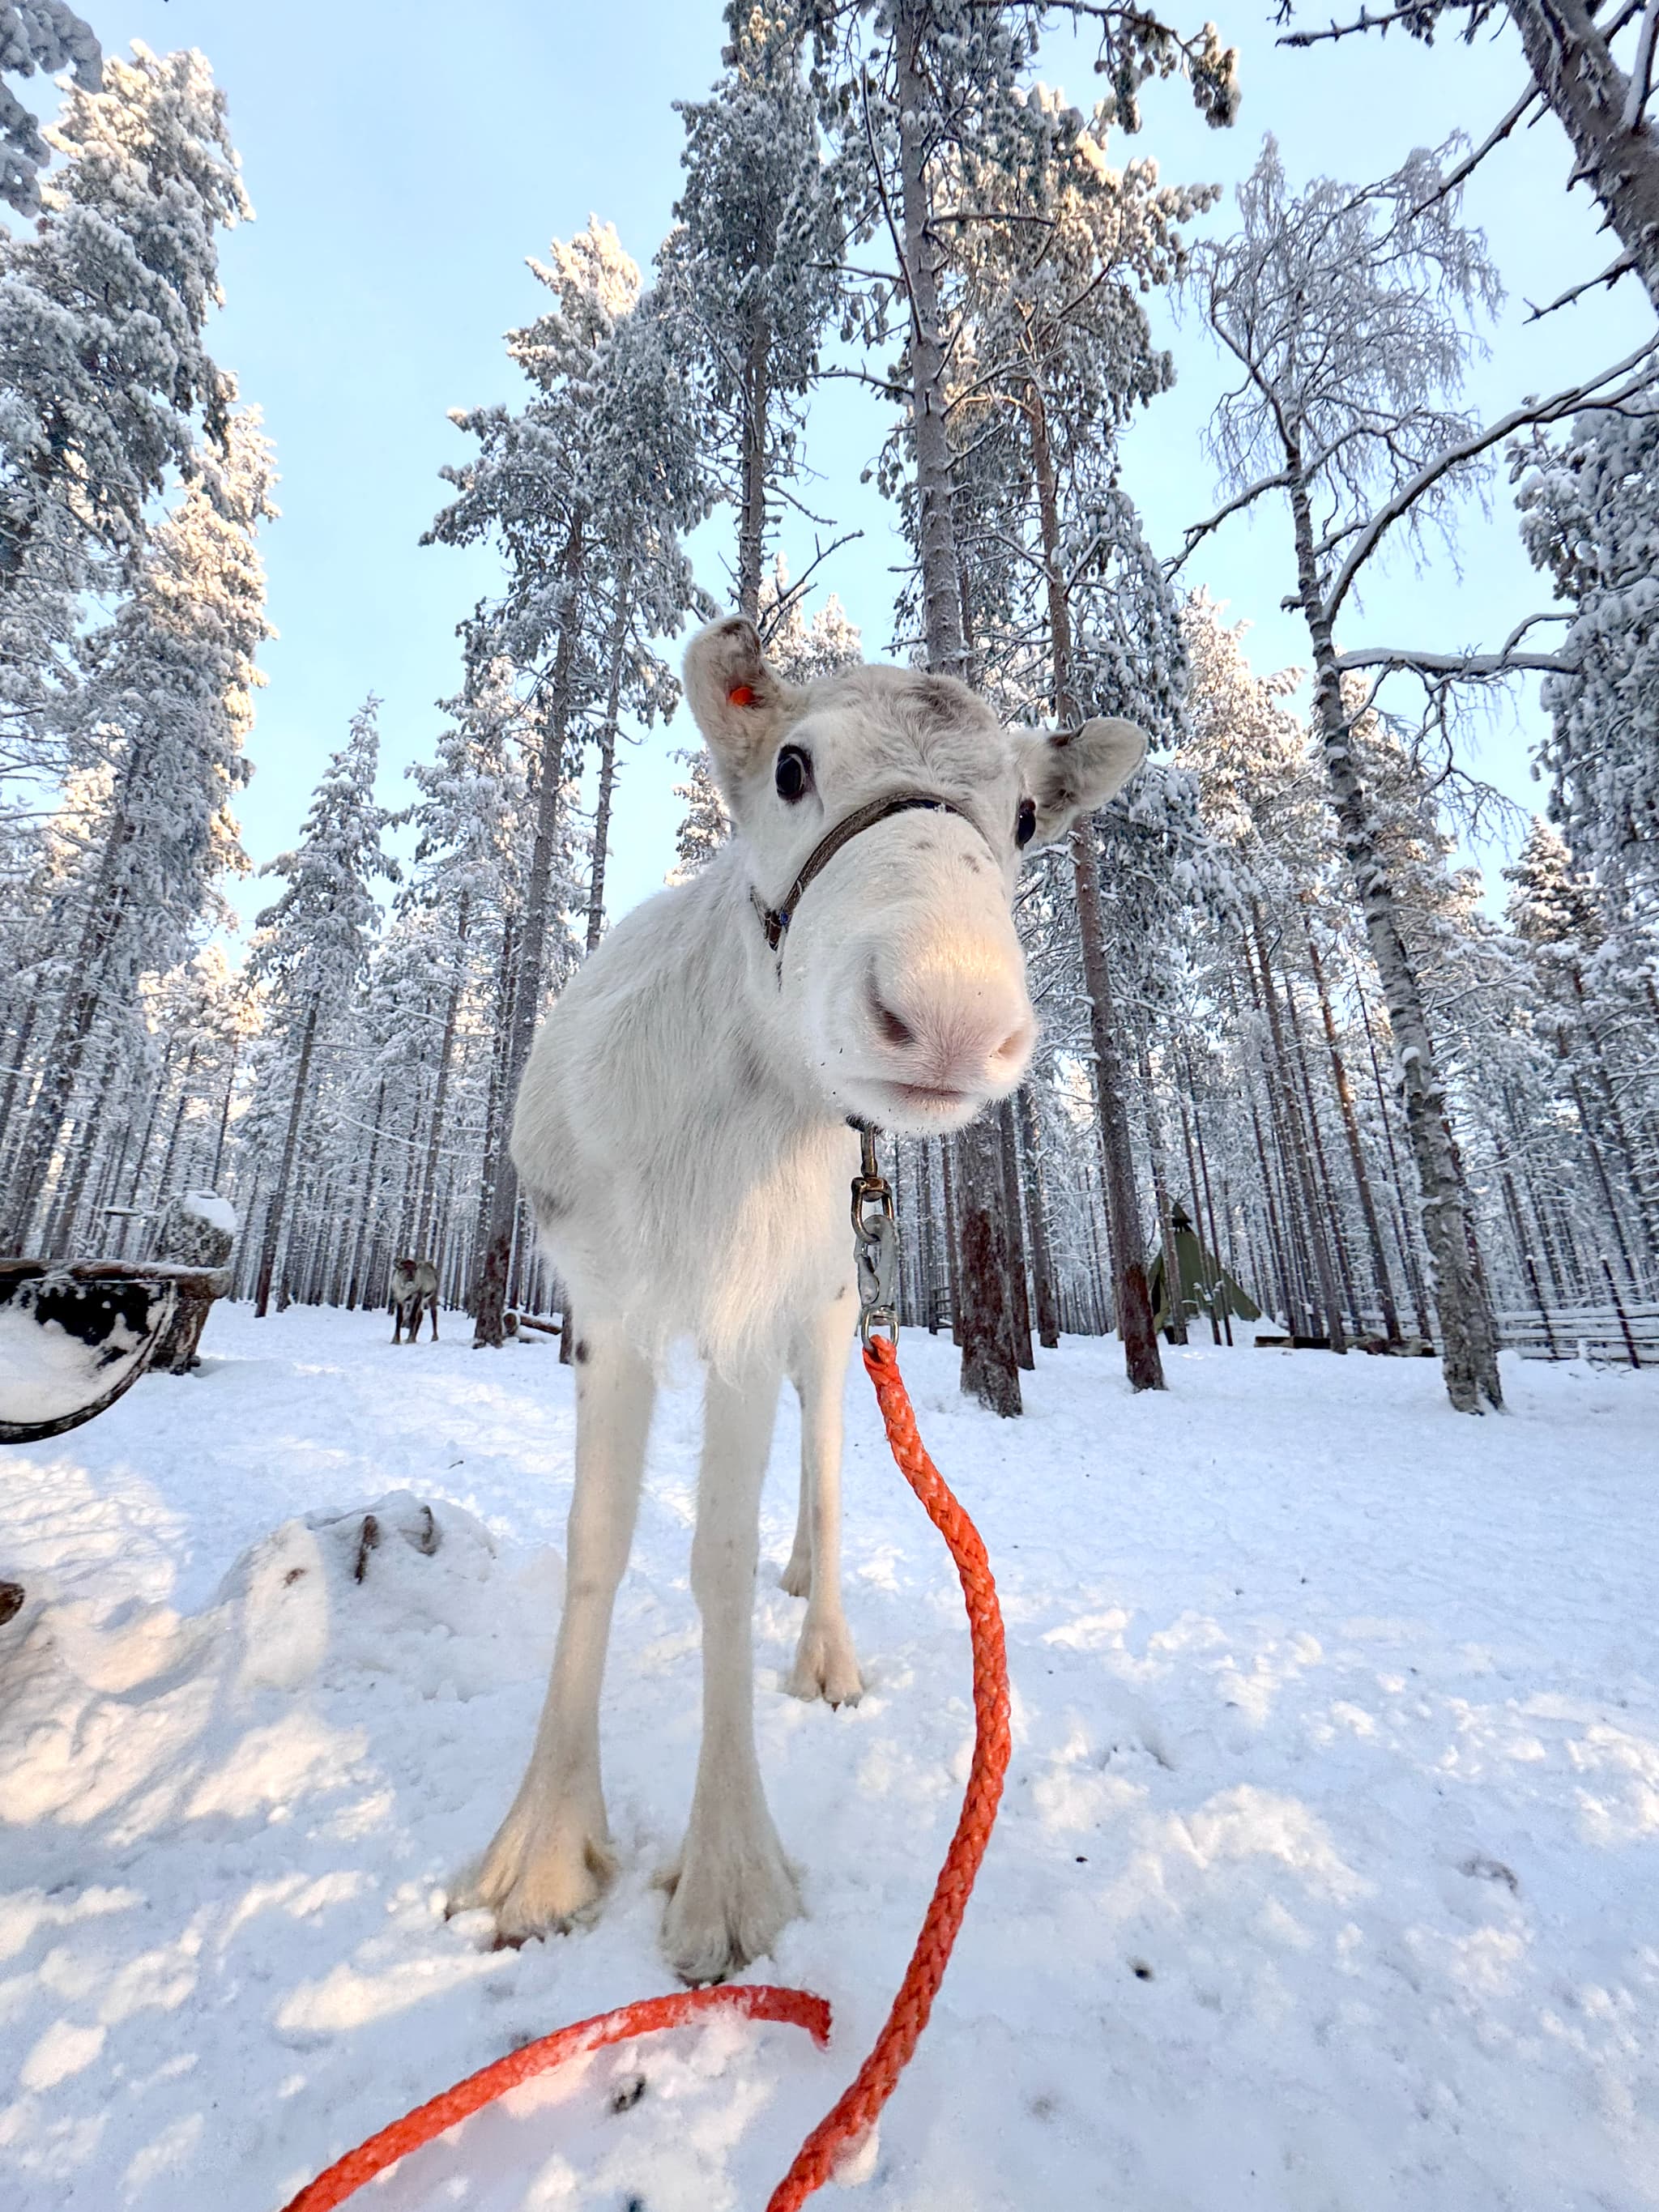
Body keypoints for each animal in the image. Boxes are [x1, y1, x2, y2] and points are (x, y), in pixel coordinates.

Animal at [450, 615, 1145, 1983]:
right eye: (789, 765)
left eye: (1025, 812)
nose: (949, 1013)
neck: (707, 1140)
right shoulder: (603, 1308)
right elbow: (598, 1541)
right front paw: (539, 1856)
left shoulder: (745, 1312)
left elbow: (714, 1558)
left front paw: (726, 1878)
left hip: (830, 1315)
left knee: (826, 1461)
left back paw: (822, 1641)